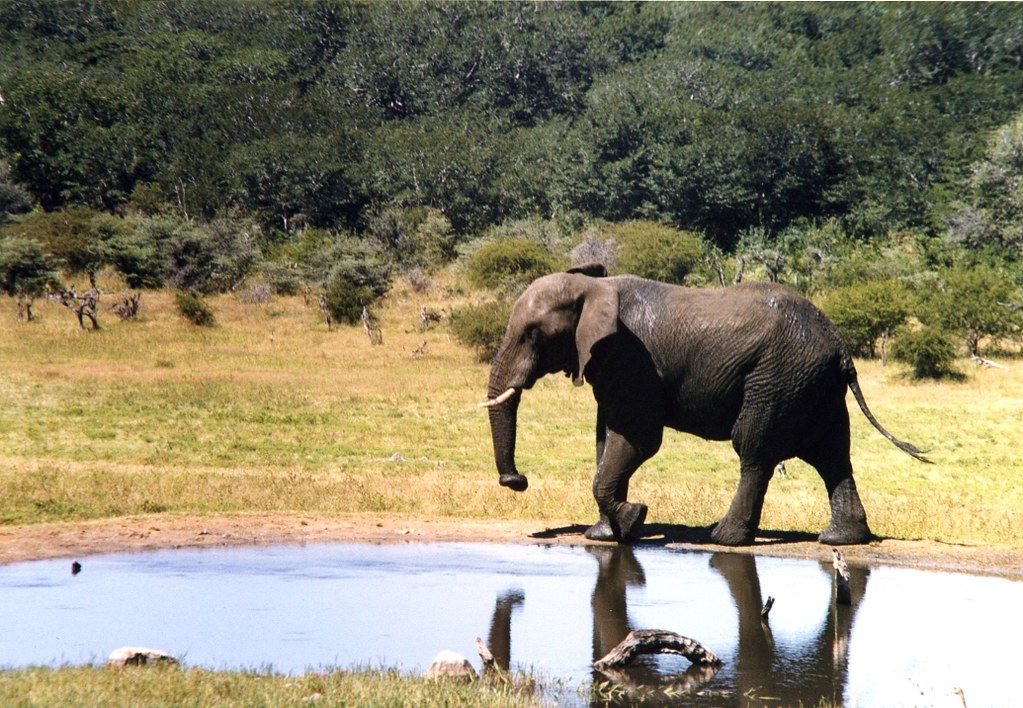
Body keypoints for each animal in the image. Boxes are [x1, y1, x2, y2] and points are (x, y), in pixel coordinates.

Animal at [481, 264, 928, 546]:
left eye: (533, 334)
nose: (517, 481)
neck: (592, 287)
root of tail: (840, 348)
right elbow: (606, 440)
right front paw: (608, 534)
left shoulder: (632, 361)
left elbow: (639, 439)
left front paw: (634, 517)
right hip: (813, 387)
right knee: (832, 455)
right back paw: (842, 539)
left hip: (777, 379)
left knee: (754, 451)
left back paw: (724, 538)